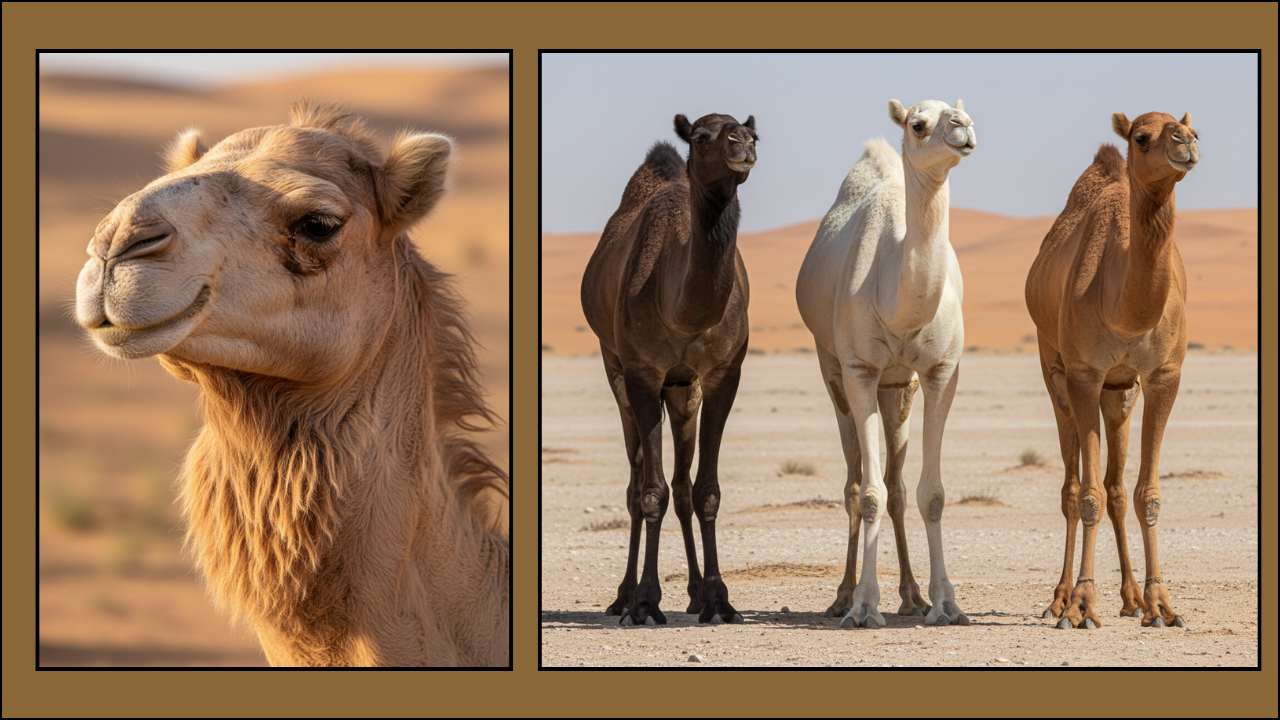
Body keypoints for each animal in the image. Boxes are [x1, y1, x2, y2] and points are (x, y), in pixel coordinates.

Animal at [579, 112, 756, 625]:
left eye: (750, 131)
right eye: (701, 136)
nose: (744, 144)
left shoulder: (722, 374)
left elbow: (704, 490)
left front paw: (718, 599)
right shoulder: (642, 373)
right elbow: (649, 491)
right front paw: (645, 601)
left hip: (683, 391)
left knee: (681, 487)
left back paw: (694, 593)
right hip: (615, 368)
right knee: (637, 482)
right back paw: (624, 594)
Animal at [796, 99, 976, 629]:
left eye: (960, 111)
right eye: (917, 124)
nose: (963, 128)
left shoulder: (940, 372)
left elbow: (930, 493)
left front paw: (946, 603)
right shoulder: (859, 370)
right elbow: (869, 493)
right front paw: (863, 605)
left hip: (898, 388)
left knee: (896, 485)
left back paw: (912, 595)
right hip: (834, 370)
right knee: (856, 483)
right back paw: (842, 596)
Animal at [1025, 111, 1198, 630]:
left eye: (1191, 129)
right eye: (1141, 137)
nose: (1186, 143)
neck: (1125, 308)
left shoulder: (1163, 376)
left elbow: (1145, 493)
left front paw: (1161, 604)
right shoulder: (1084, 374)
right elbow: (1087, 496)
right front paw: (1081, 605)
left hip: (1120, 391)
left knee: (1118, 487)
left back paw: (1131, 597)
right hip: (1054, 368)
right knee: (1072, 485)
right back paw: (1060, 598)